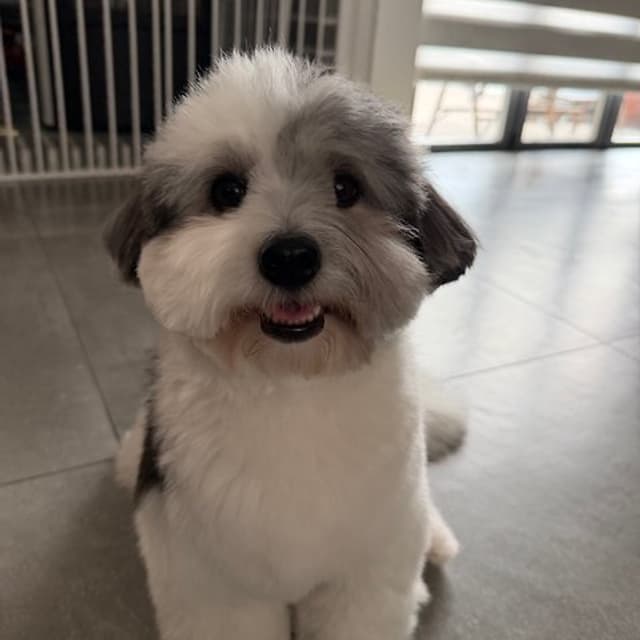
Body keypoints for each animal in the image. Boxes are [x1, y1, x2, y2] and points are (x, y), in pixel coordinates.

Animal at [106, 48, 476, 640]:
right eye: (227, 190)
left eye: (346, 187)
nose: (290, 257)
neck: (293, 384)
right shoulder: (216, 587)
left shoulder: (365, 576)